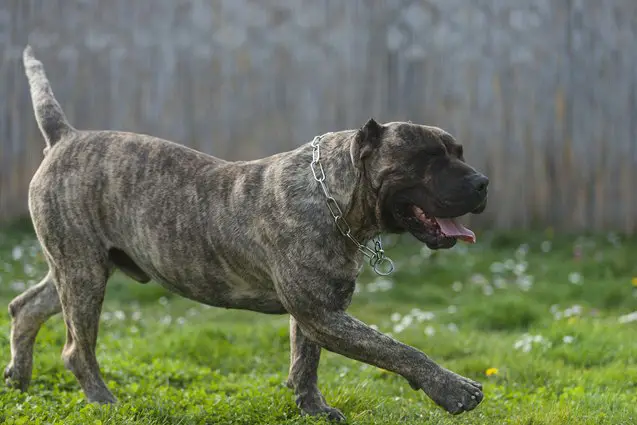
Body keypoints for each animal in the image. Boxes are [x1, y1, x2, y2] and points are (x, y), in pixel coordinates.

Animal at [3, 45, 486, 418]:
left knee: (26, 307)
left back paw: (19, 379)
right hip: (83, 274)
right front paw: (453, 388)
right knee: (76, 348)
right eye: (428, 157)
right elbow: (397, 348)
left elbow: (305, 360)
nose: (482, 182)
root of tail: (65, 137)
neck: (332, 192)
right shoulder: (323, 314)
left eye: (460, 152)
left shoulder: (319, 311)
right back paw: (104, 401)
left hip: (80, 267)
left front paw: (312, 408)